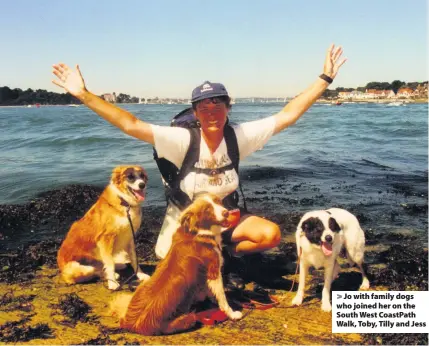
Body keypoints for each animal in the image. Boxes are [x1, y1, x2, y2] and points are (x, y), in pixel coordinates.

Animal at [110, 193, 242, 334]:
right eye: (207, 210)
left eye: (218, 201)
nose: (226, 212)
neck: (197, 232)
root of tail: (131, 324)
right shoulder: (214, 271)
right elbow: (222, 297)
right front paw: (232, 313)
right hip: (189, 318)